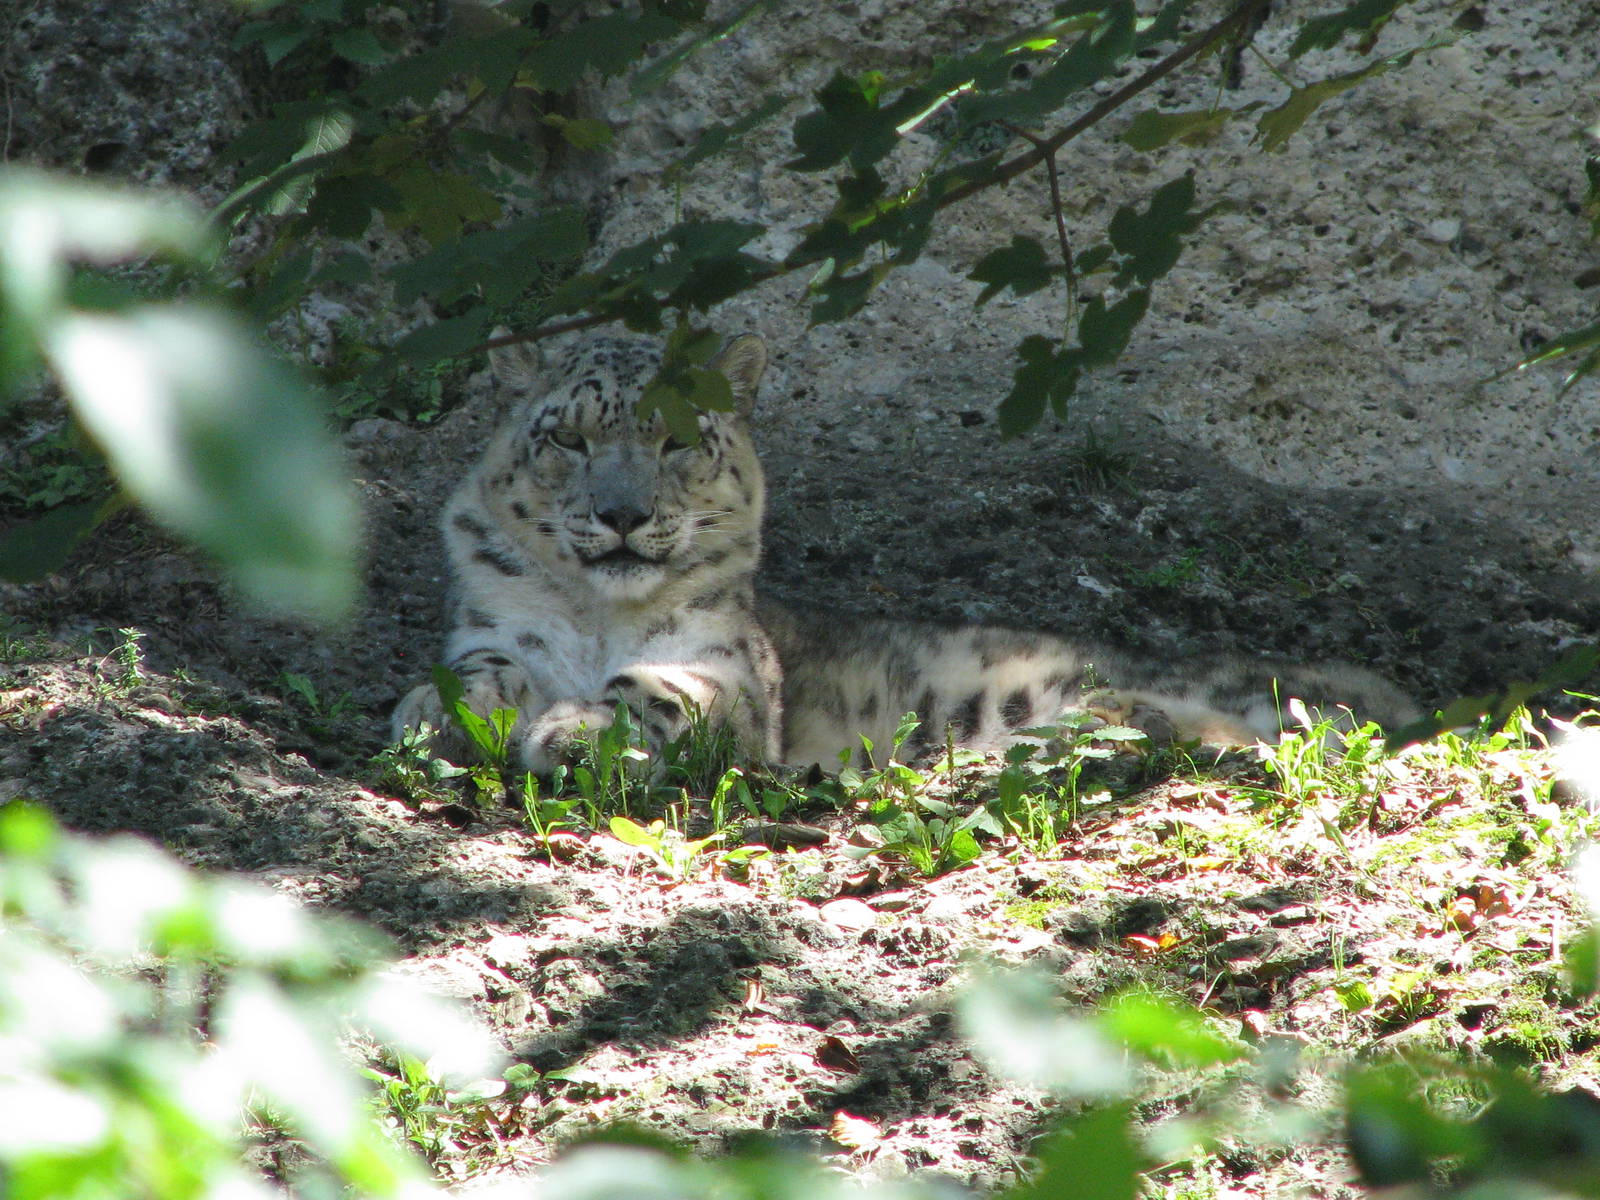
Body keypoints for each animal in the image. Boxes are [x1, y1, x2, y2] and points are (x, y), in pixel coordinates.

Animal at [392, 331, 1420, 774]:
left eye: (678, 439)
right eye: (567, 438)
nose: (620, 513)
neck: (599, 619)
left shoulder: (727, 670)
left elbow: (659, 691)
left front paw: (573, 730)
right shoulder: (493, 632)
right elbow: (476, 672)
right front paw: (436, 715)